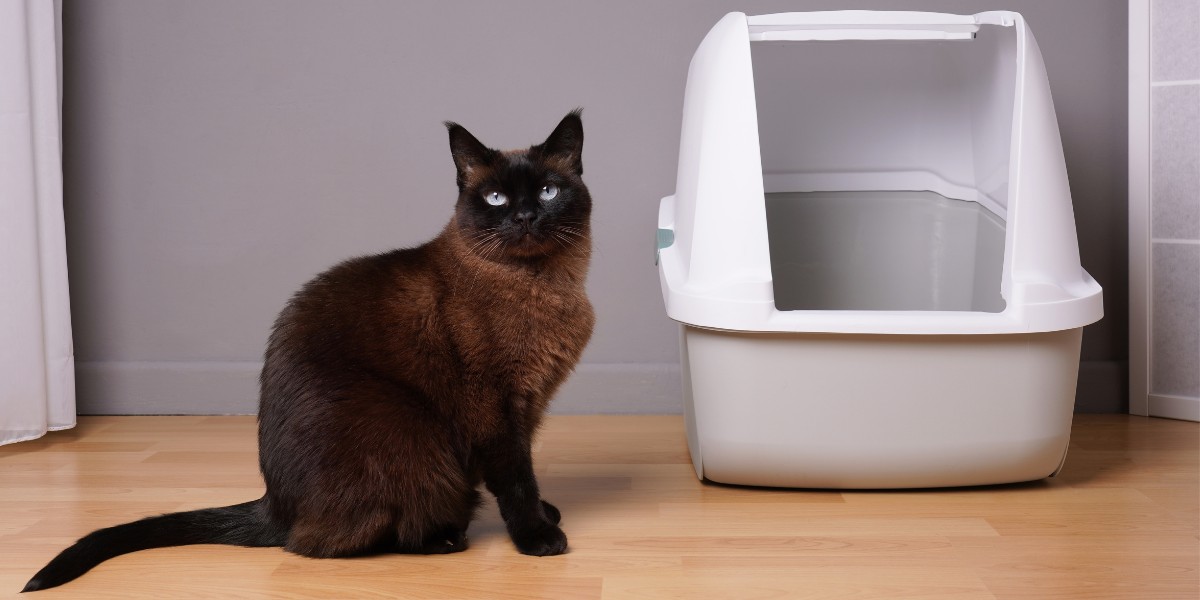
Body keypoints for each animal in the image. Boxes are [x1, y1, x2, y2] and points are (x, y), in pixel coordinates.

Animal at [23, 110, 595, 592]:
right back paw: (445, 536)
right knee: (318, 545)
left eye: (547, 191)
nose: (525, 216)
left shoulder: (529, 405)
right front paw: (538, 538)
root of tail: (275, 504)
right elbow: (515, 478)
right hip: (407, 431)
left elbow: (522, 472)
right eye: (497, 199)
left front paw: (546, 514)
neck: (544, 286)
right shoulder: (497, 407)